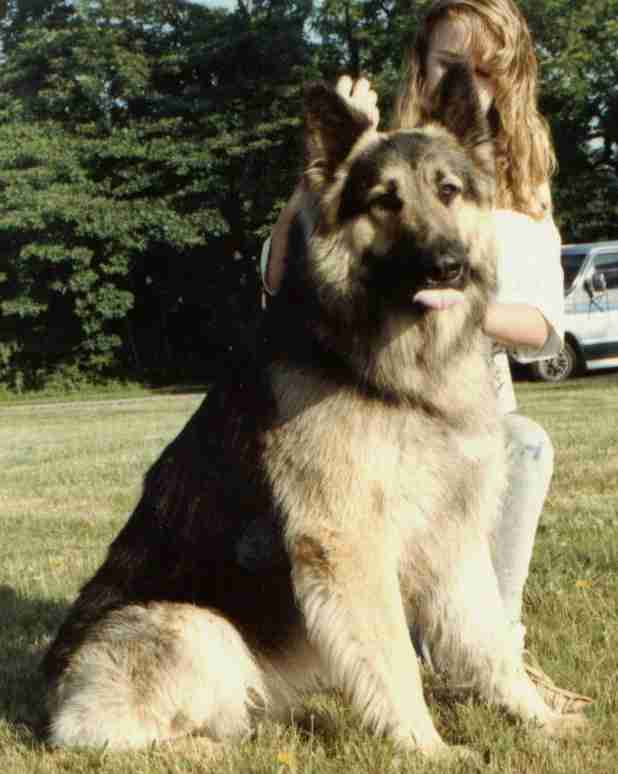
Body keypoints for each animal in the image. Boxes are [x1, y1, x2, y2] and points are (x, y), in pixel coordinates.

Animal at [42, 62, 584, 764]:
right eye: (383, 201)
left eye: (449, 190)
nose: (448, 265)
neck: (391, 374)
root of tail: (48, 697)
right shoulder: (349, 545)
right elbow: (393, 658)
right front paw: (426, 750)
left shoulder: (455, 538)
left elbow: (490, 645)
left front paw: (540, 720)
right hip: (198, 627)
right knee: (96, 740)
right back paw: (210, 754)